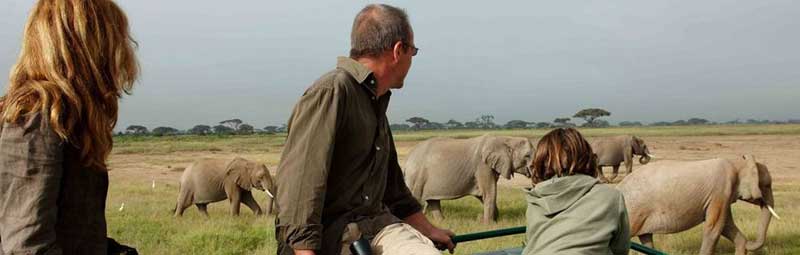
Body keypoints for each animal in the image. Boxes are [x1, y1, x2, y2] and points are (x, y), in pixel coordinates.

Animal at [404, 134, 536, 224]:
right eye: (527, 156)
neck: (506, 139)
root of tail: (407, 160)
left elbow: (484, 195)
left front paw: (491, 220)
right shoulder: (482, 166)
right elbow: (489, 192)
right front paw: (489, 225)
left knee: (433, 201)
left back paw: (442, 222)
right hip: (416, 177)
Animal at [620, 154, 780, 254]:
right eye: (767, 185)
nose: (750, 242)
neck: (737, 161)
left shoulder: (721, 196)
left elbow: (726, 225)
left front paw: (743, 245)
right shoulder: (721, 190)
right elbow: (715, 227)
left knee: (646, 238)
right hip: (633, 211)